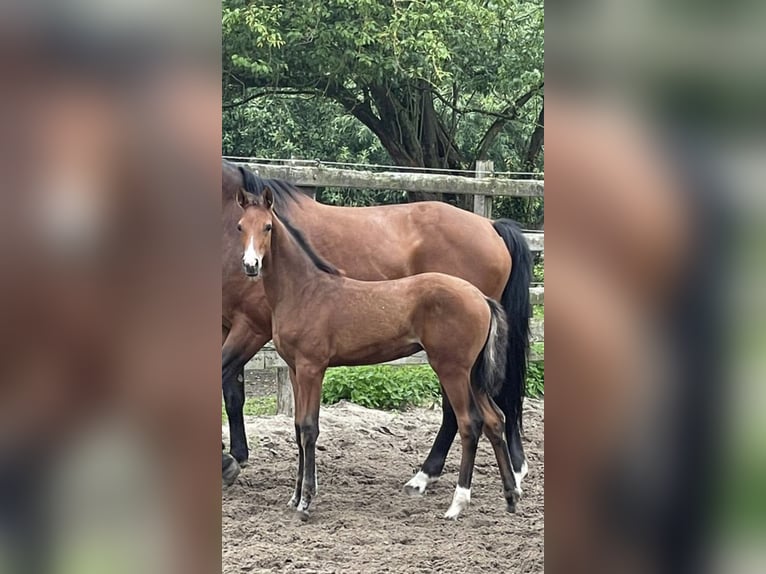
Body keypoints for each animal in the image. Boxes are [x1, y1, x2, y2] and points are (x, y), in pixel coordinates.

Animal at [222, 161, 533, 496]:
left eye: (267, 228)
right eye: (239, 227)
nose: (250, 265)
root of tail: (491, 226)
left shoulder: (255, 329)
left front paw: (231, 461)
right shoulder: (238, 330)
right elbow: (236, 394)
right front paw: (237, 458)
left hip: (452, 360)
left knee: (462, 412)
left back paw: (430, 475)